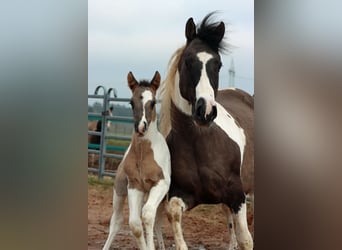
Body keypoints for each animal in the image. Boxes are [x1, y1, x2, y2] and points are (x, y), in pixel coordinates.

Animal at [101, 71, 171, 250]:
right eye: (131, 103)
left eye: (153, 103)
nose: (141, 127)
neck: (143, 154)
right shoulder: (134, 186)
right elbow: (135, 223)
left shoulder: (161, 184)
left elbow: (147, 216)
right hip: (119, 191)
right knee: (117, 220)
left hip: (161, 198)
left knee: (156, 220)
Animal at [158, 12, 254, 249]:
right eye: (188, 61)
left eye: (218, 64)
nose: (206, 111)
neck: (199, 144)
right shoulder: (182, 195)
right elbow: (173, 214)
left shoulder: (238, 195)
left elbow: (246, 239)